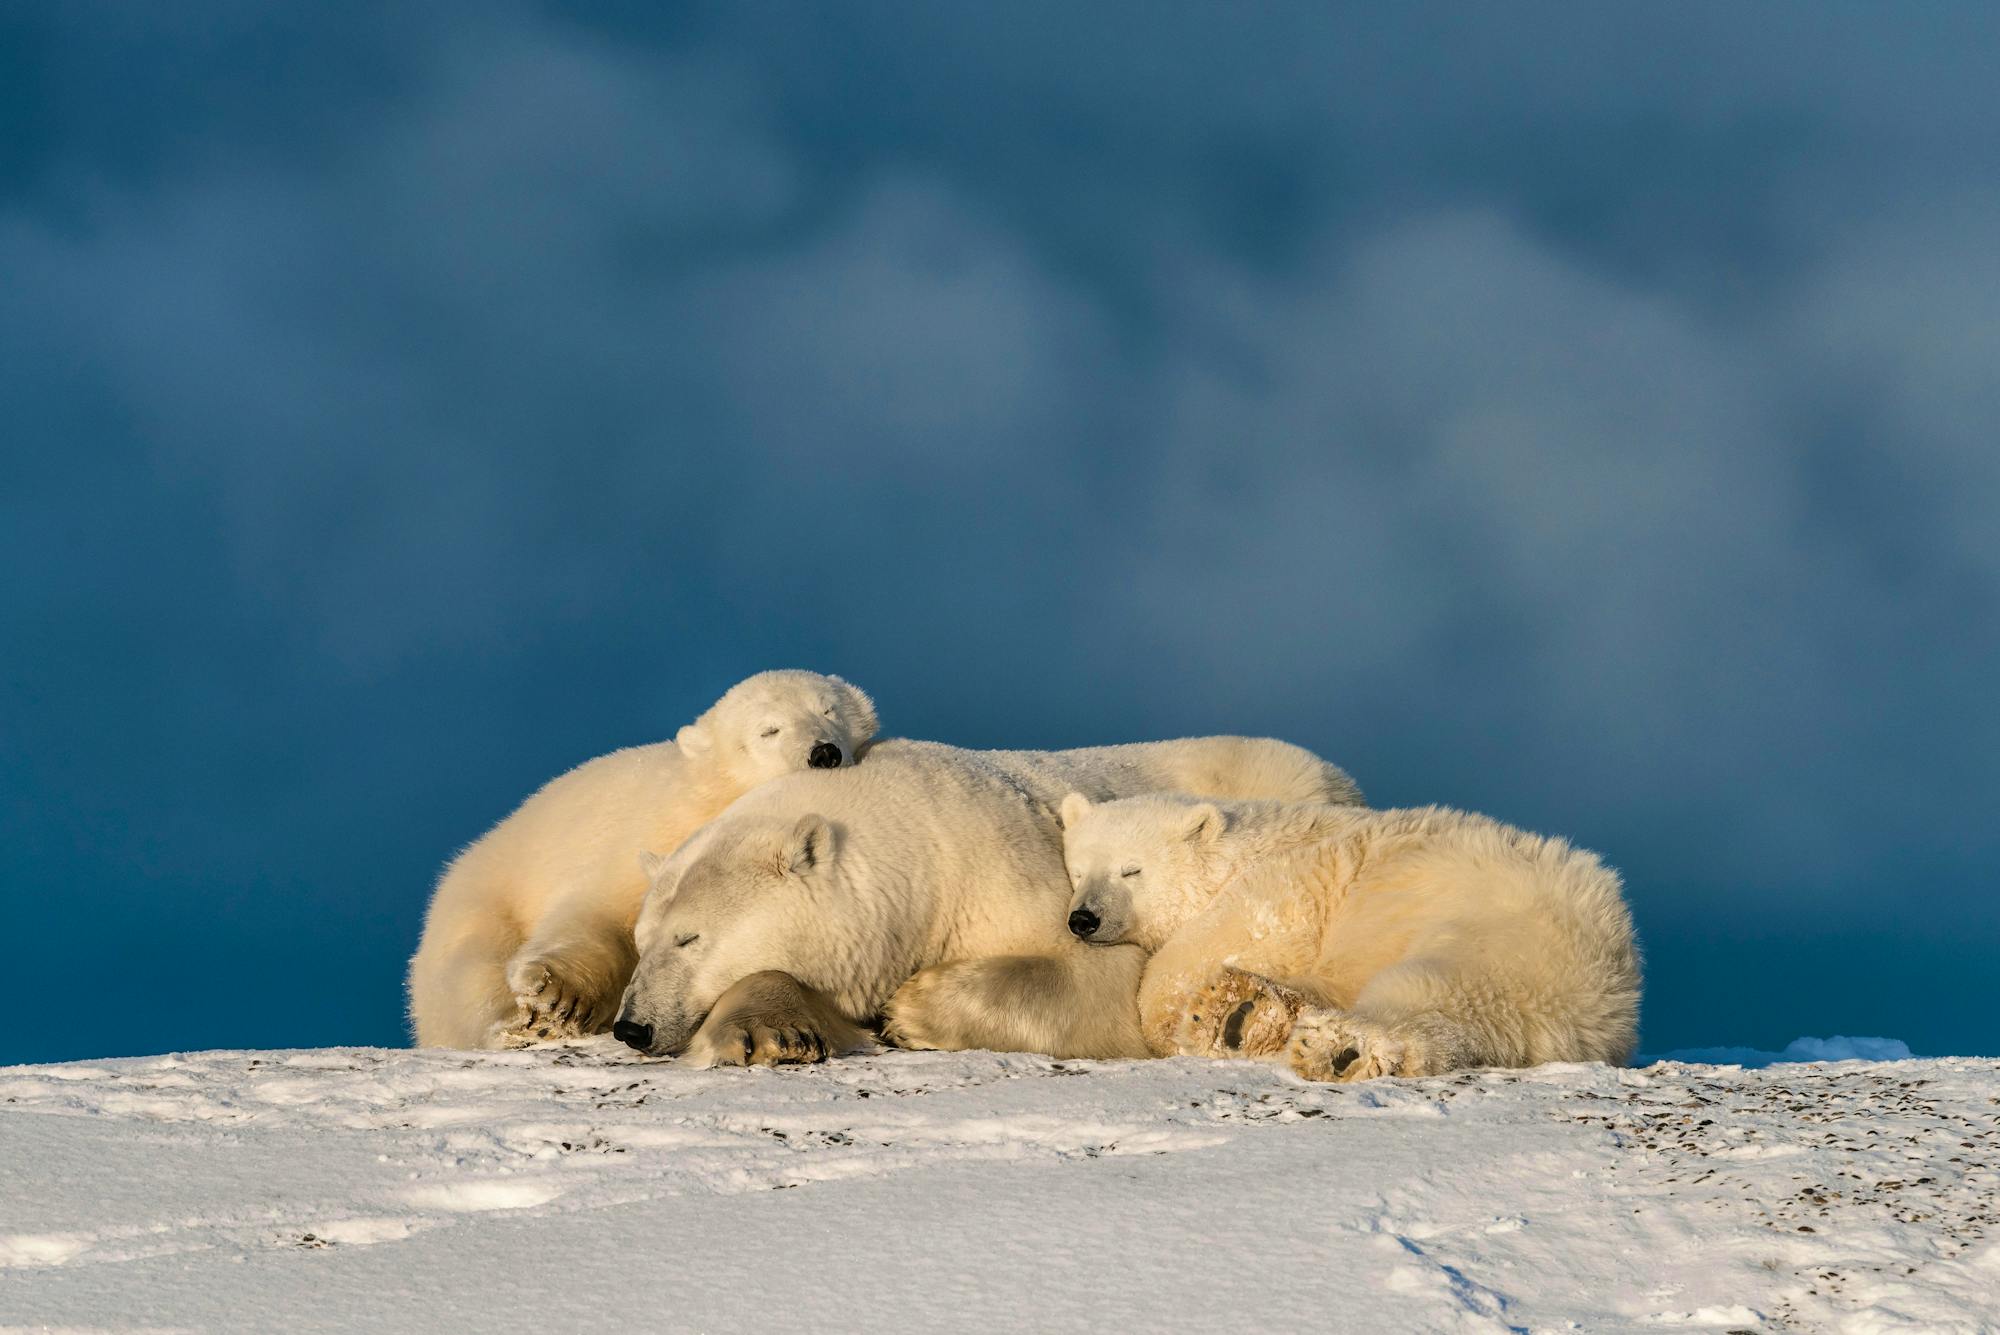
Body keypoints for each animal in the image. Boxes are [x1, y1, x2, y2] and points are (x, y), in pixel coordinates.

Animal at [406, 671, 876, 1047]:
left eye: (829, 709)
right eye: (769, 730)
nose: (824, 753)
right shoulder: (653, 838)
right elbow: (601, 914)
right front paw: (556, 999)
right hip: (484, 905)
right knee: (469, 977)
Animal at [608, 739, 1360, 1063]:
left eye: (689, 938)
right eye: (644, 941)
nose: (631, 1027)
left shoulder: (1005, 866)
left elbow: (1098, 982)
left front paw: (910, 1010)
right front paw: (769, 1031)